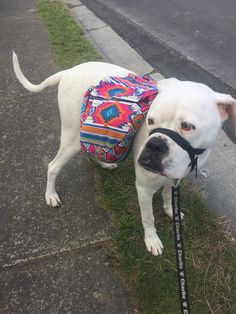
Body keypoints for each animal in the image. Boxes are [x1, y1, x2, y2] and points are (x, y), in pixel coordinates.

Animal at [13, 52, 236, 256]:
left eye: (187, 126)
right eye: (150, 121)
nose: (154, 144)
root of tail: (69, 71)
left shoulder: (175, 178)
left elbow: (167, 196)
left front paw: (170, 211)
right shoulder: (144, 188)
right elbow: (148, 218)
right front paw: (152, 240)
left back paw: (104, 164)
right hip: (71, 138)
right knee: (53, 166)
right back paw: (51, 195)